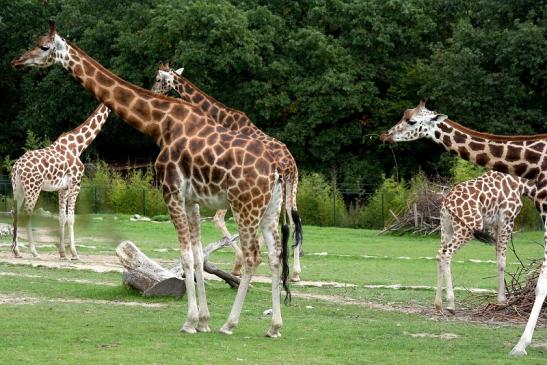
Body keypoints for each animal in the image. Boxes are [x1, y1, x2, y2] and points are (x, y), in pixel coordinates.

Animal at [11, 104, 109, 260]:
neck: (79, 146)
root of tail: (18, 167)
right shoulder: (75, 184)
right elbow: (71, 218)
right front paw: (74, 254)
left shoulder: (63, 188)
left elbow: (62, 217)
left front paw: (63, 253)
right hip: (33, 188)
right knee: (27, 213)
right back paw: (34, 252)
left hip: (17, 188)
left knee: (16, 212)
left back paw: (17, 251)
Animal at [151, 63, 304, 278]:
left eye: (158, 79)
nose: (152, 91)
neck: (223, 117)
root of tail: (290, 163)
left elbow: (219, 219)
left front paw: (238, 264)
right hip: (291, 186)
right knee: (293, 218)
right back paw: (295, 272)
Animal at [436, 169, 536, 312]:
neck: (521, 183)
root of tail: (446, 202)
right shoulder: (507, 220)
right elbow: (502, 261)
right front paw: (502, 300)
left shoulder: (494, 225)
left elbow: (497, 259)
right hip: (465, 229)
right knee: (445, 254)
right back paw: (451, 304)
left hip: (446, 228)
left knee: (439, 253)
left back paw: (438, 304)